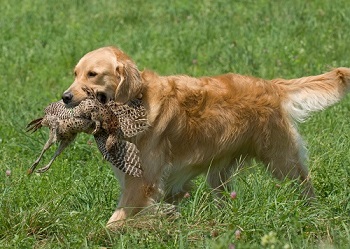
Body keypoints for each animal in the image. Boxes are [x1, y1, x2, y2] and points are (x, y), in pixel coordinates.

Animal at [62, 46, 350, 226]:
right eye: (74, 74)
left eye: (93, 74)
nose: (64, 97)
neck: (136, 102)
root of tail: (272, 85)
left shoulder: (141, 184)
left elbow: (113, 222)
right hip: (219, 174)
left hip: (282, 162)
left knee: (306, 186)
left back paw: (314, 215)